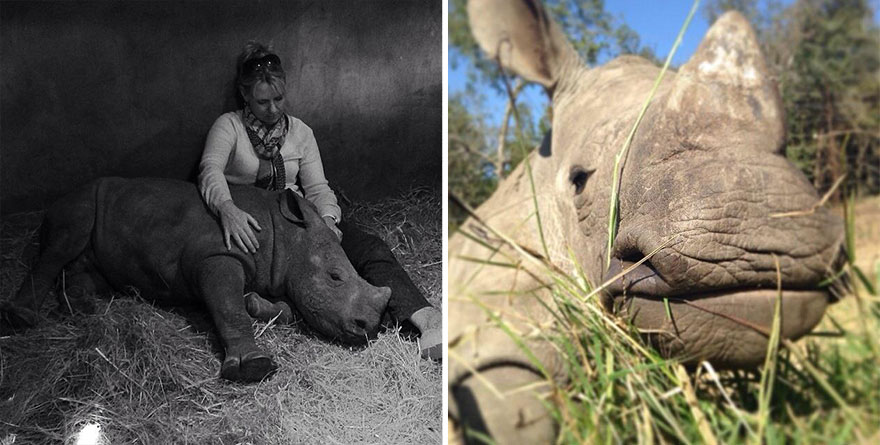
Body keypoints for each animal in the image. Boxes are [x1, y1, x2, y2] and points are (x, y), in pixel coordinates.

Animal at [1, 177, 392, 382]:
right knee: (64, 241)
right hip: (80, 200)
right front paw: (254, 367)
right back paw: (22, 318)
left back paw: (82, 308)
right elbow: (228, 308)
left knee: (84, 262)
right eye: (335, 277)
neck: (286, 235)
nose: (369, 328)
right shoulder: (218, 255)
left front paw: (255, 303)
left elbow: (285, 308)